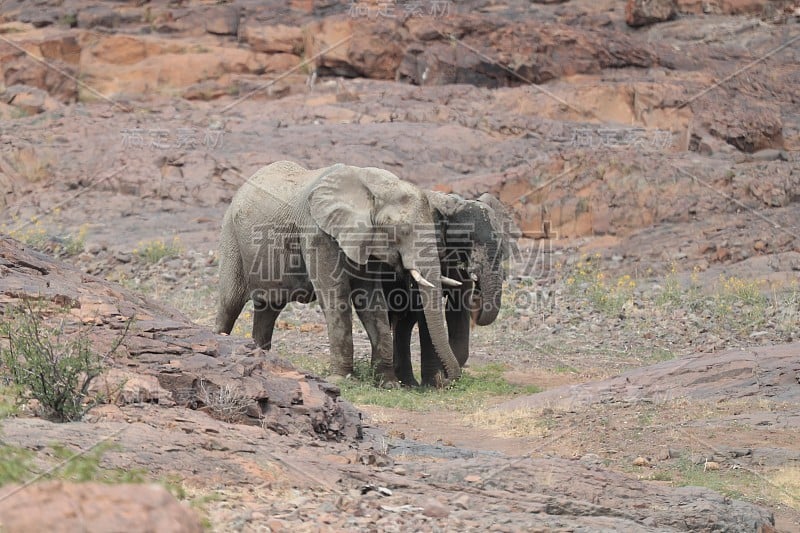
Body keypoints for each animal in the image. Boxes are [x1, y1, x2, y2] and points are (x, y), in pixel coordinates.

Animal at [214, 160, 462, 384]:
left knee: (269, 309)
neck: (372, 186)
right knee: (230, 302)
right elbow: (336, 296)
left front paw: (388, 383)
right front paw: (340, 379)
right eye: (403, 230)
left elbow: (371, 301)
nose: (449, 381)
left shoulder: (366, 241)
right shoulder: (317, 234)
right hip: (230, 236)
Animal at [388, 191, 520, 386]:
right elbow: (426, 311)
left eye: (501, 242)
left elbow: (457, 306)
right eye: (467, 239)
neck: (451, 203)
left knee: (405, 321)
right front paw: (435, 384)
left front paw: (446, 375)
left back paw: (407, 382)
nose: (479, 296)